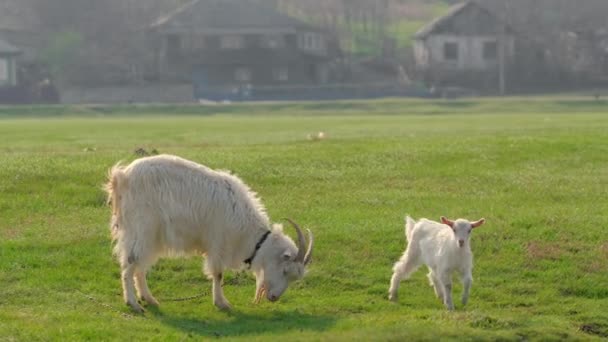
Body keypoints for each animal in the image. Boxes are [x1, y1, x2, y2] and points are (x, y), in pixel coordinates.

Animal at [104, 155, 314, 312]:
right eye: (285, 271)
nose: (273, 297)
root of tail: (121, 176)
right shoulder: (218, 244)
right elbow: (218, 274)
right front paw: (222, 303)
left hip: (151, 236)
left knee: (139, 266)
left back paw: (149, 299)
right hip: (142, 229)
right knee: (130, 263)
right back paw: (133, 303)